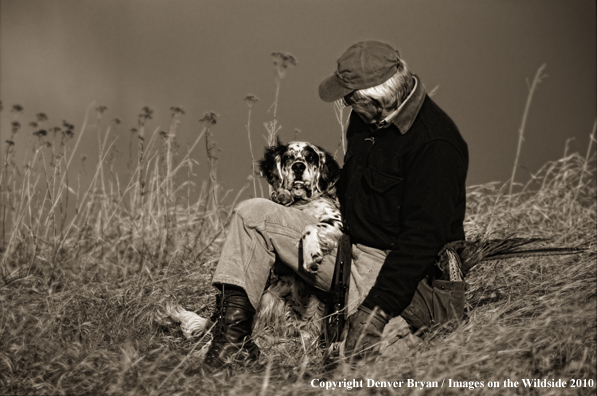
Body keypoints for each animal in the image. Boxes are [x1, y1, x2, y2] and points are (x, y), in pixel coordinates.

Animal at [258, 139, 342, 272]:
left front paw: (311, 254)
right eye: (288, 157)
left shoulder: (338, 220)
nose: (298, 166)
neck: (302, 202)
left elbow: (309, 226)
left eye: (311, 157)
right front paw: (281, 195)